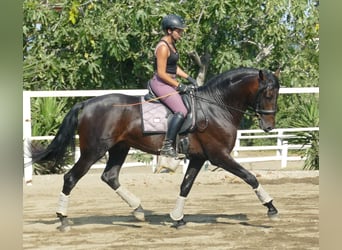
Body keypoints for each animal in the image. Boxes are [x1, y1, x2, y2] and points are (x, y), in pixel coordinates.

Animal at [29, 66, 280, 230]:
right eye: (268, 94)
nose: (269, 126)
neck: (216, 106)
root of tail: (86, 103)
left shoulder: (199, 158)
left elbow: (185, 185)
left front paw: (177, 218)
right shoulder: (219, 156)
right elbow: (249, 176)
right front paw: (271, 208)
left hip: (120, 148)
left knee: (110, 176)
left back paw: (138, 210)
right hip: (93, 151)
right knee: (71, 177)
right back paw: (63, 218)